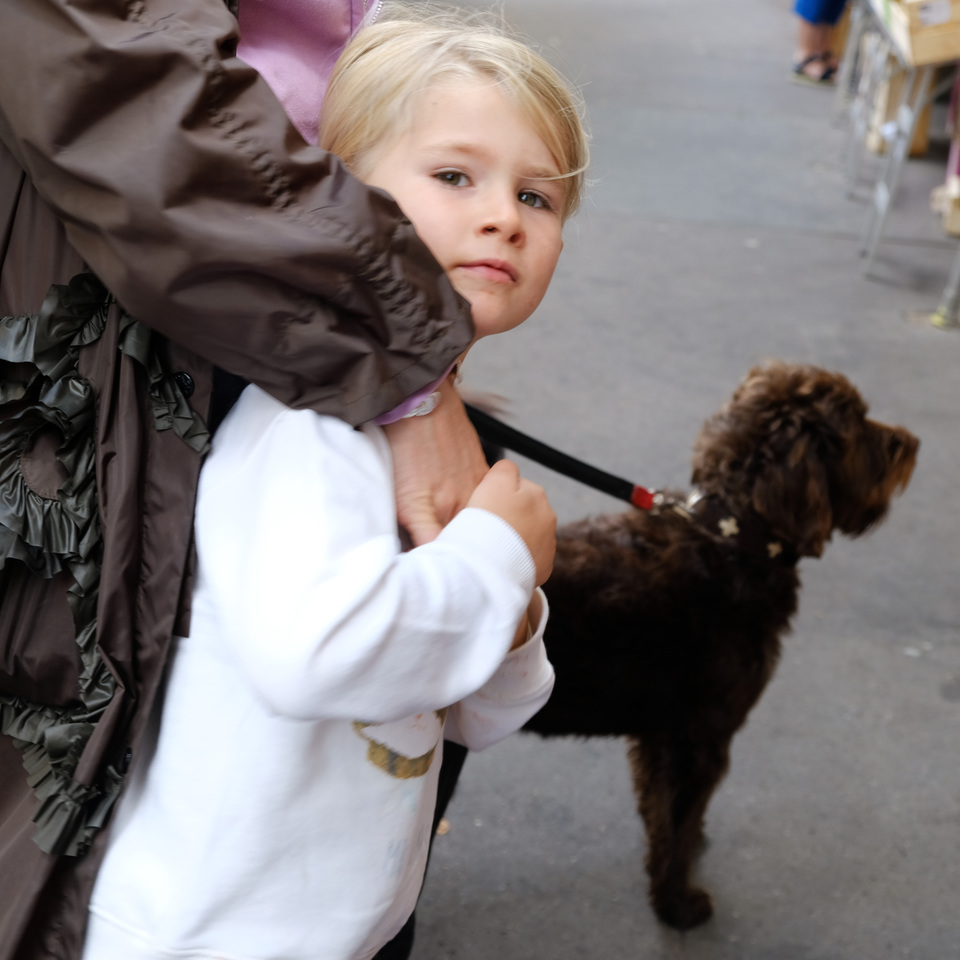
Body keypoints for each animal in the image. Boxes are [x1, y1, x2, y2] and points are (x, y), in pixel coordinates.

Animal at [520, 362, 920, 928]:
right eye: (856, 422)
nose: (911, 443)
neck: (731, 542)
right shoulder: (701, 736)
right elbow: (681, 817)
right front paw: (678, 902)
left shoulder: (662, 736)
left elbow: (664, 810)